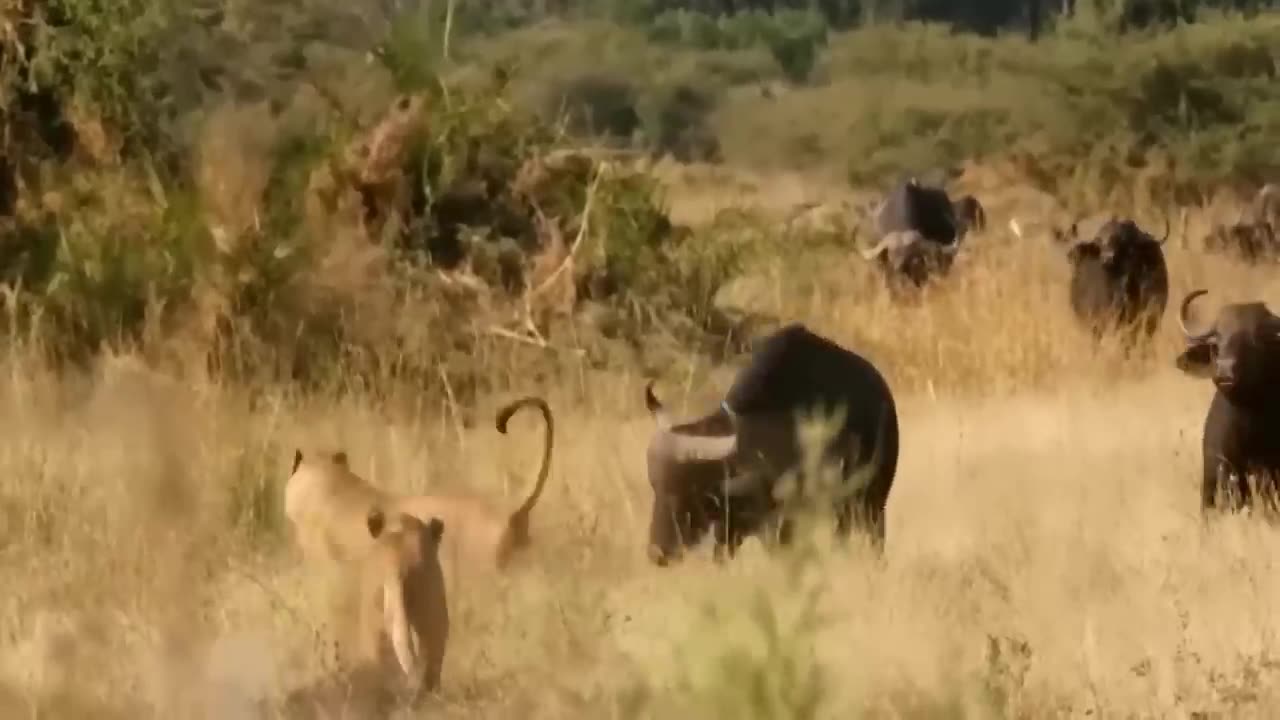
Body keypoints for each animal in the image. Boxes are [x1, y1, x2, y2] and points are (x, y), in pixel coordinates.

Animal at [640, 322, 901, 563]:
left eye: (688, 491)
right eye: (655, 486)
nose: (656, 552)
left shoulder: (783, 524)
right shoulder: (730, 528)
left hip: (873, 504)